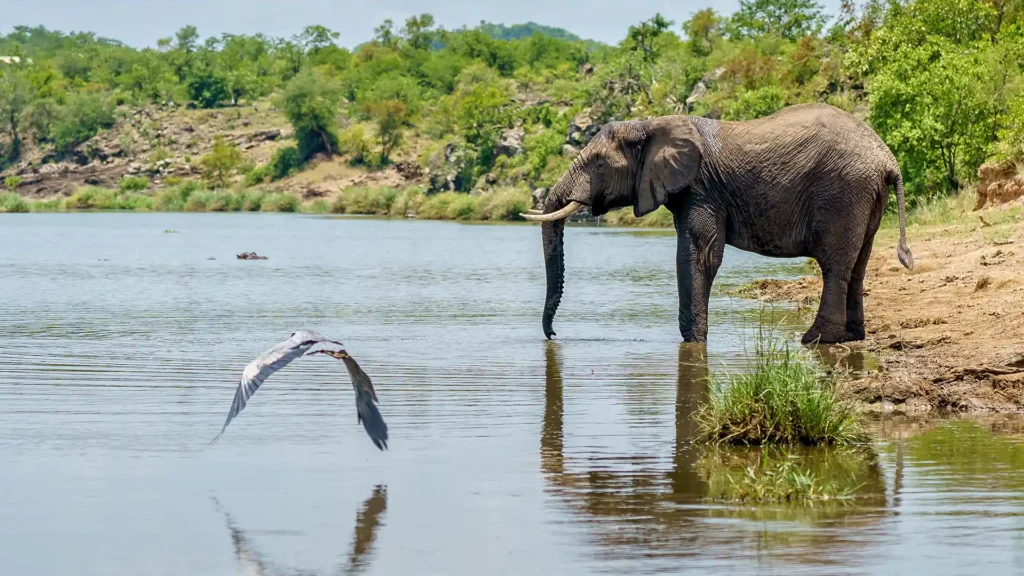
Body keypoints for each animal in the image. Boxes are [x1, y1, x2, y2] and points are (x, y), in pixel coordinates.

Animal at [524, 103, 917, 342]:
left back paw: (815, 340)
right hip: (865, 196)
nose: (554, 336)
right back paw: (852, 337)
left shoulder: (702, 189)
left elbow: (699, 255)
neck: (654, 124)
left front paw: (693, 342)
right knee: (859, 263)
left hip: (842, 192)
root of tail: (887, 159)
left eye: (599, 165)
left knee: (835, 265)